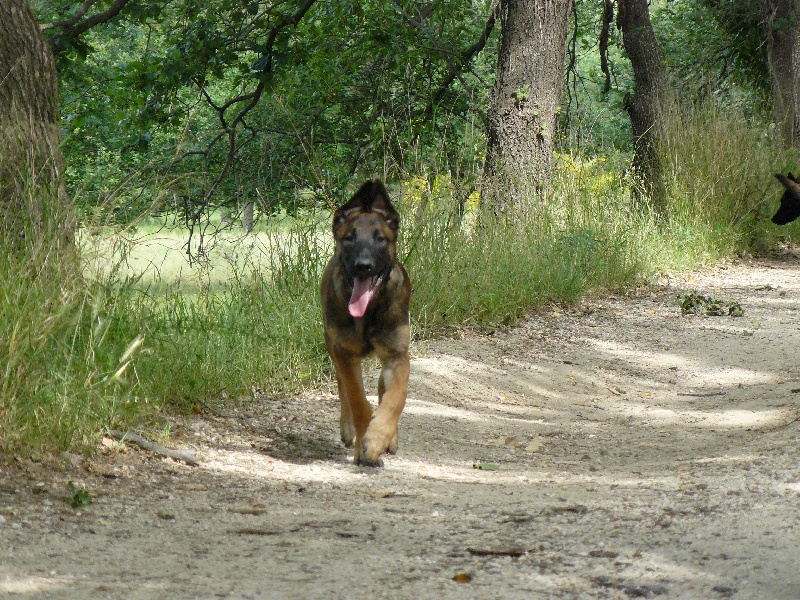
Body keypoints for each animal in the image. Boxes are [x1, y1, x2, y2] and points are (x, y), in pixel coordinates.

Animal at [320, 180, 412, 466]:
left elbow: (395, 398)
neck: (369, 311)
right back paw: (349, 429)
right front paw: (364, 446)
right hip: (332, 344)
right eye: (349, 238)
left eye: (380, 239)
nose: (363, 266)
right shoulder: (345, 352)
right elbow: (358, 400)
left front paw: (379, 437)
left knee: (383, 389)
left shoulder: (397, 356)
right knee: (343, 386)